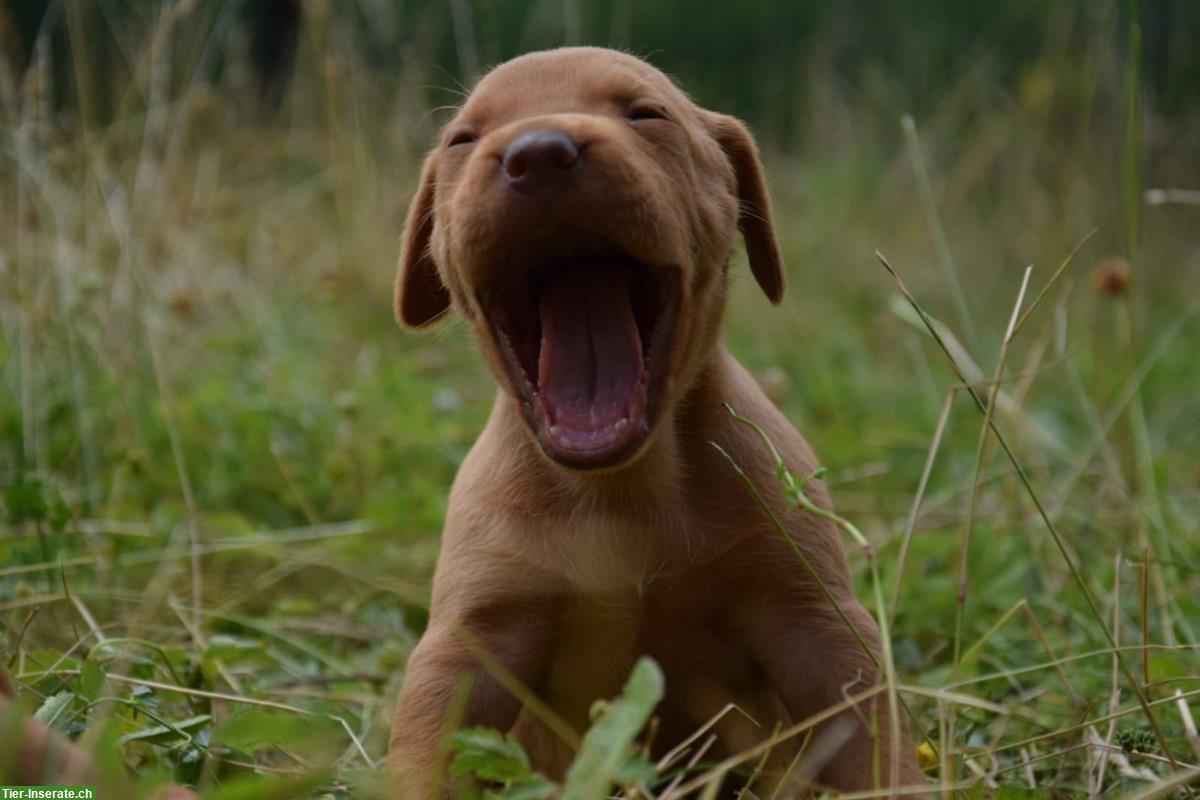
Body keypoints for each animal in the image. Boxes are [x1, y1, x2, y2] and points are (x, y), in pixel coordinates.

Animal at [388, 47, 921, 796]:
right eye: (463, 140)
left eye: (647, 115)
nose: (538, 153)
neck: (624, 489)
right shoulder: (470, 643)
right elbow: (426, 757)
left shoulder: (817, 623)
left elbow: (877, 745)